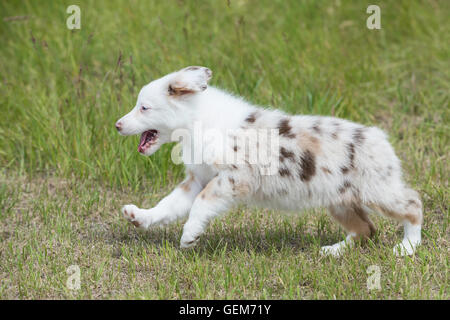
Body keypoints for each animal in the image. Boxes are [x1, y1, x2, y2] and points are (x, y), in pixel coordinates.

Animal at [115, 66, 422, 256]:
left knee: (413, 205)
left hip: (378, 191)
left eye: (144, 108)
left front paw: (190, 234)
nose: (117, 125)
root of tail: (381, 138)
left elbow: (201, 203)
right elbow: (168, 205)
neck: (196, 122)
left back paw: (408, 247)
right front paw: (141, 216)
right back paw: (333, 251)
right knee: (366, 230)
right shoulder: (198, 178)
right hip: (340, 200)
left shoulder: (235, 177)